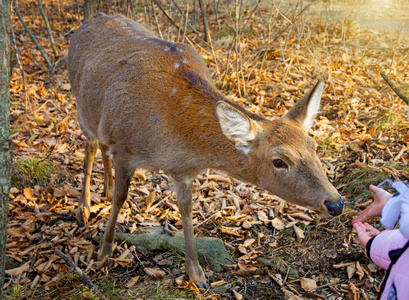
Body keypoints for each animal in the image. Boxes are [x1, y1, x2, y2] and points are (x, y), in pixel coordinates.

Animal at [68, 13, 342, 288]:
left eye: (314, 147)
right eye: (279, 161)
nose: (336, 203)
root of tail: (91, 19)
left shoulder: (182, 171)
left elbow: (187, 210)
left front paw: (196, 274)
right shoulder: (124, 148)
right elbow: (121, 198)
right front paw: (104, 249)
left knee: (102, 146)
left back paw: (105, 188)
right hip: (81, 106)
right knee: (91, 146)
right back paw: (84, 206)